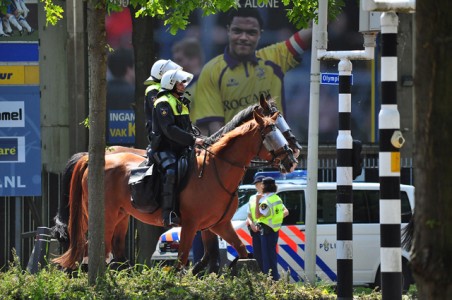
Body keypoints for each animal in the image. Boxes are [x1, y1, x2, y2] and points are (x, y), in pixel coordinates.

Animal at [53, 110, 298, 270]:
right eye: (270, 135)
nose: (292, 159)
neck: (216, 169)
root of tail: (91, 158)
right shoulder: (191, 225)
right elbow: (183, 261)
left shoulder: (217, 225)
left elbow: (237, 252)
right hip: (104, 218)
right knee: (92, 251)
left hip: (120, 217)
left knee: (111, 254)